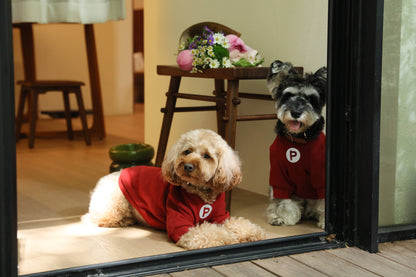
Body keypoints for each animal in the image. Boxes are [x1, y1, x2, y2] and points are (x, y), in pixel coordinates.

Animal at [83, 128, 264, 249]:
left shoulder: (221, 216)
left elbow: (240, 223)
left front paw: (254, 233)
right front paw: (230, 237)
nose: (188, 166)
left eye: (207, 156)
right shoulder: (183, 226)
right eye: (187, 151)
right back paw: (123, 220)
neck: (201, 194)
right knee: (98, 218)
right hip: (115, 205)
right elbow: (213, 232)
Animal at [266, 60, 328, 229]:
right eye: (288, 95)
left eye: (311, 99)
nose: (295, 113)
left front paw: (325, 222)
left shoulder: (321, 176)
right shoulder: (279, 175)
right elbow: (284, 201)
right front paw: (284, 218)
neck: (299, 139)